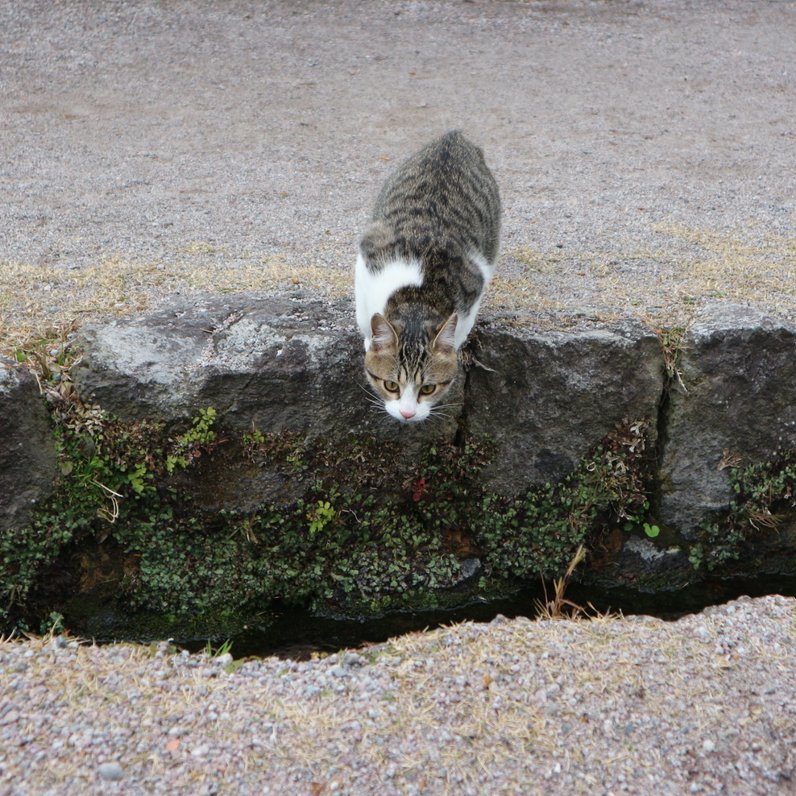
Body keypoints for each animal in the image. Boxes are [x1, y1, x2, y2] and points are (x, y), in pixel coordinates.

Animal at [352, 131, 498, 422]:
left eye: (428, 388)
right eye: (391, 385)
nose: (407, 414)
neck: (419, 294)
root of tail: (454, 137)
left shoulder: (475, 286)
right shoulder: (367, 260)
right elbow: (363, 316)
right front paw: (370, 340)